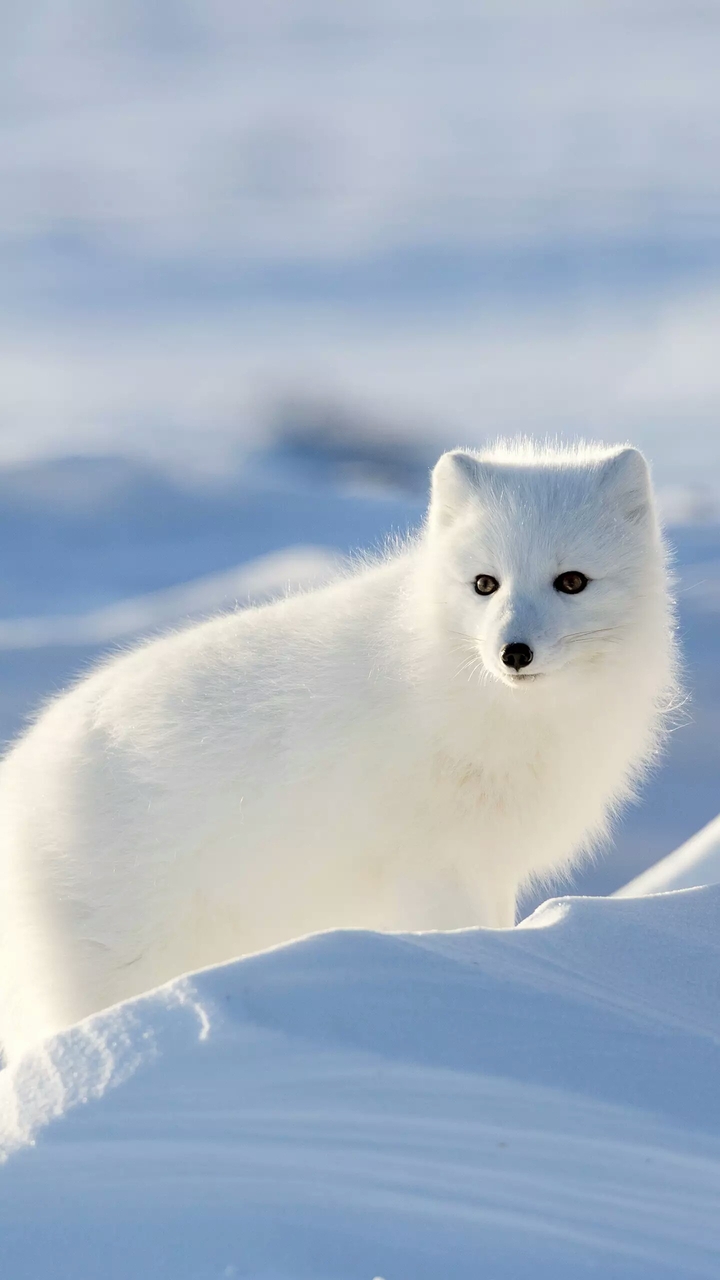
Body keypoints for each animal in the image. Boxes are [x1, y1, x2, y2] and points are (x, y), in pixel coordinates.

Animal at [0, 441, 677, 1062]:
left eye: (572, 582)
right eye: (485, 583)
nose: (513, 652)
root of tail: (20, 768)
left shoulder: (489, 865)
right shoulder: (431, 867)